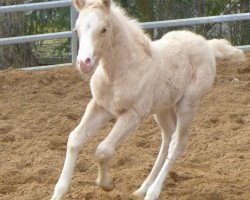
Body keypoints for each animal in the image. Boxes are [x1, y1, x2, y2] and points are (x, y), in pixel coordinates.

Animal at [49, 0, 243, 199]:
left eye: (103, 29)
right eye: (77, 28)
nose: (84, 63)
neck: (120, 72)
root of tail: (207, 45)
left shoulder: (133, 115)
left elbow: (103, 150)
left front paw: (106, 184)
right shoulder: (100, 107)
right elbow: (75, 139)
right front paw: (58, 193)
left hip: (188, 104)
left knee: (177, 144)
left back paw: (152, 192)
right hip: (163, 107)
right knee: (167, 138)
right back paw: (143, 187)